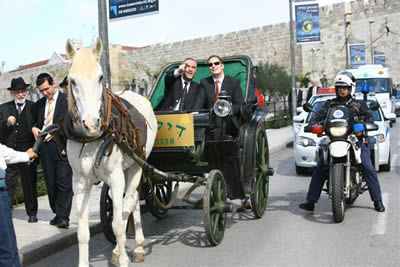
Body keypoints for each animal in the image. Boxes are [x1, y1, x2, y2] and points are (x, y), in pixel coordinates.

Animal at [65, 38, 157, 267]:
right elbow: (82, 231)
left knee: (130, 200)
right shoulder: (79, 181)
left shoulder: (115, 178)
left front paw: (123, 258)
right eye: (72, 81)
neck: (91, 139)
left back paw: (134, 246)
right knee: (133, 201)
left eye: (100, 77)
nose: (91, 123)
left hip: (137, 164)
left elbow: (117, 222)